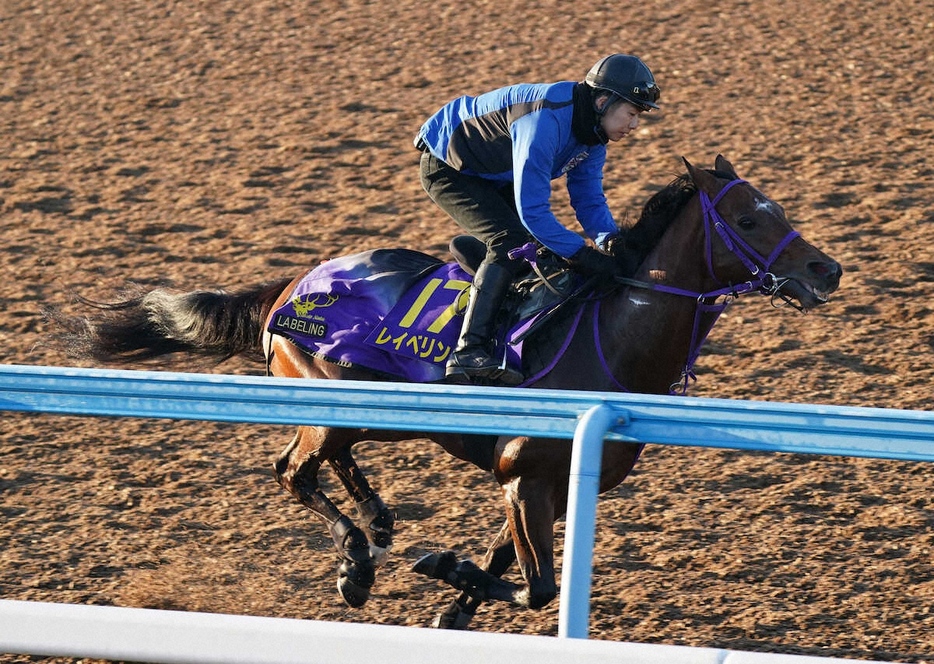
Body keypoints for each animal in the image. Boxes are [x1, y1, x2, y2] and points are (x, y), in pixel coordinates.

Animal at [49, 156, 840, 628]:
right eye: (747, 218)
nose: (826, 270)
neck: (608, 339)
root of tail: (290, 287)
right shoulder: (525, 474)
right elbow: (538, 584)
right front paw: (440, 568)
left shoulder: (541, 481)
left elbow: (508, 566)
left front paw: (453, 606)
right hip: (327, 403)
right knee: (294, 470)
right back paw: (356, 562)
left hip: (369, 412)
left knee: (333, 463)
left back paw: (377, 523)